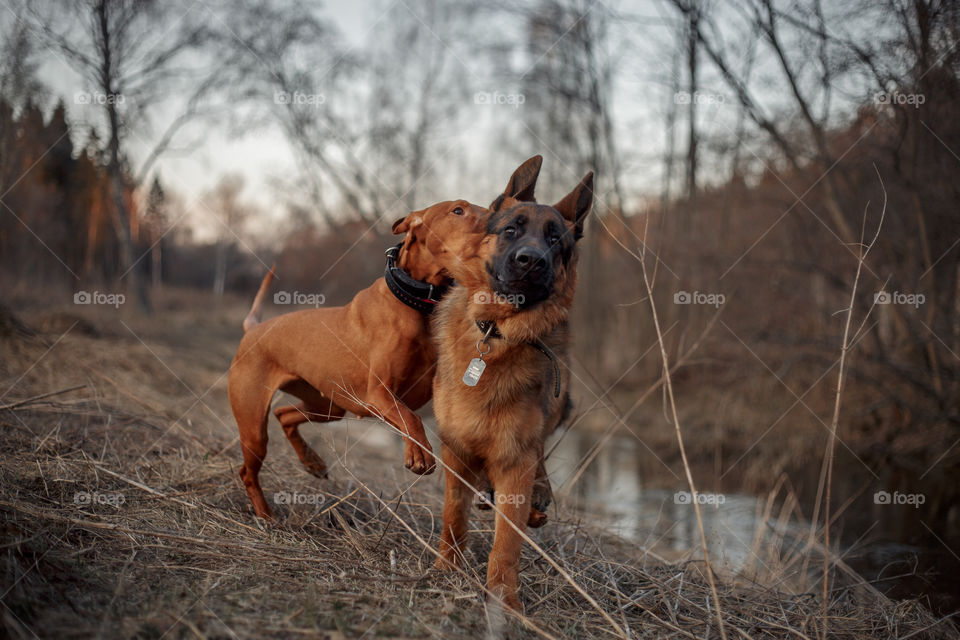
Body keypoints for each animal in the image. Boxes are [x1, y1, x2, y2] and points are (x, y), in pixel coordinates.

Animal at [225, 156, 540, 520]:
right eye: (458, 210)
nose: (500, 223)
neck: (417, 304)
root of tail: (252, 329)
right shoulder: (377, 393)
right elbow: (410, 417)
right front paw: (419, 455)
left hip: (327, 406)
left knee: (284, 415)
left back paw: (312, 462)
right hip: (254, 424)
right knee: (248, 469)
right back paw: (266, 515)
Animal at [430, 172, 592, 612]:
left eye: (555, 240)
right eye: (510, 230)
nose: (531, 261)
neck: (496, 336)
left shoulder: (516, 458)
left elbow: (506, 542)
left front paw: (505, 601)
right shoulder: (454, 448)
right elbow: (453, 514)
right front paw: (446, 567)